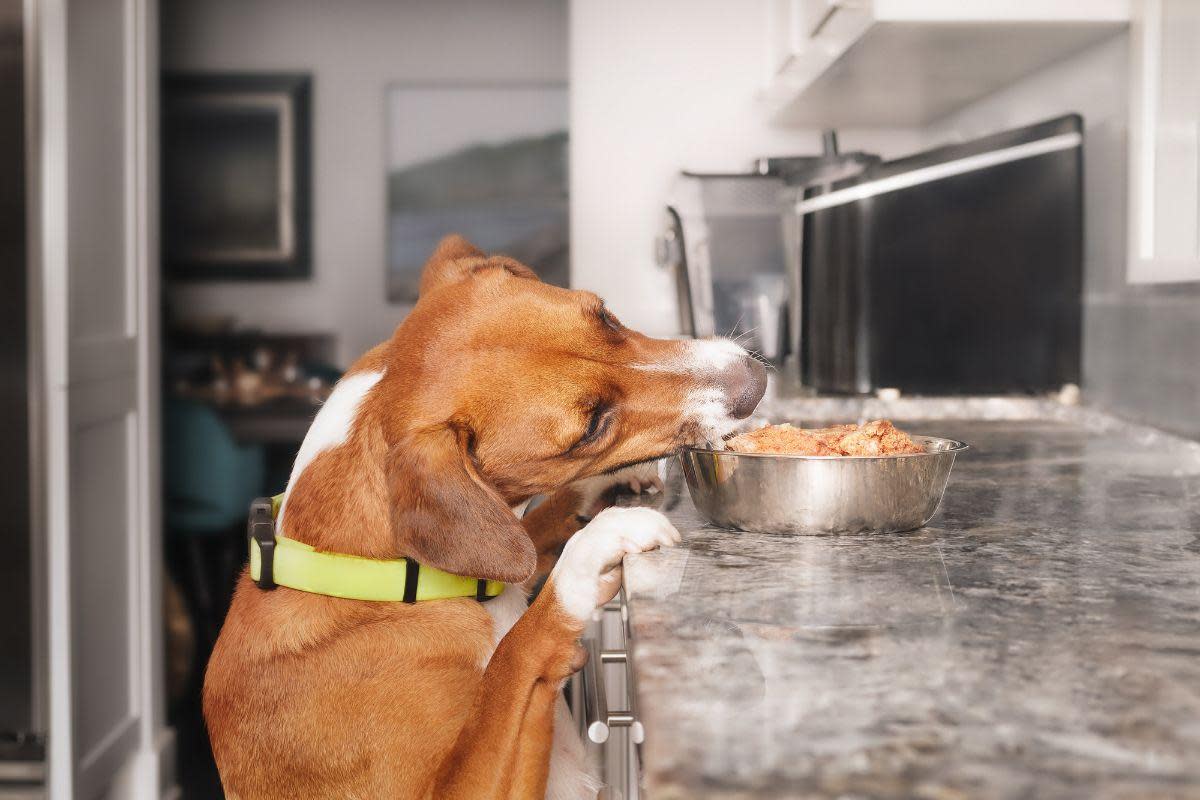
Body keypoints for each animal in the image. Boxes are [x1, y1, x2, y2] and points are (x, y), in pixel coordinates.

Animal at [204, 235, 768, 796]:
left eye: (606, 317)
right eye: (590, 427)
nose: (757, 379)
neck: (387, 583)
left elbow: (526, 544)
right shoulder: (456, 788)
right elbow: (511, 661)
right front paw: (589, 555)